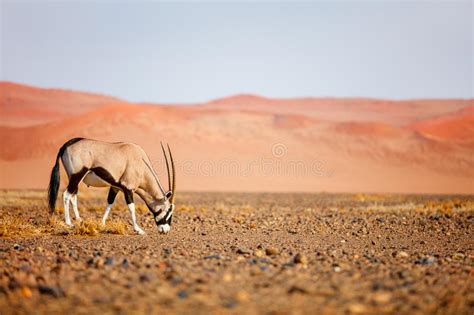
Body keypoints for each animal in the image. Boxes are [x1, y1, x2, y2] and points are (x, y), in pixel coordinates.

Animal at [48, 138, 176, 235]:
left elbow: (109, 203)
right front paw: (138, 230)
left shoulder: (115, 187)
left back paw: (79, 220)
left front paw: (102, 224)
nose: (165, 230)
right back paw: (69, 223)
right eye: (168, 210)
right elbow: (131, 208)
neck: (140, 164)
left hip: (74, 179)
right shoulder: (128, 189)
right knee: (66, 195)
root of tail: (65, 145)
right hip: (77, 175)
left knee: (73, 196)